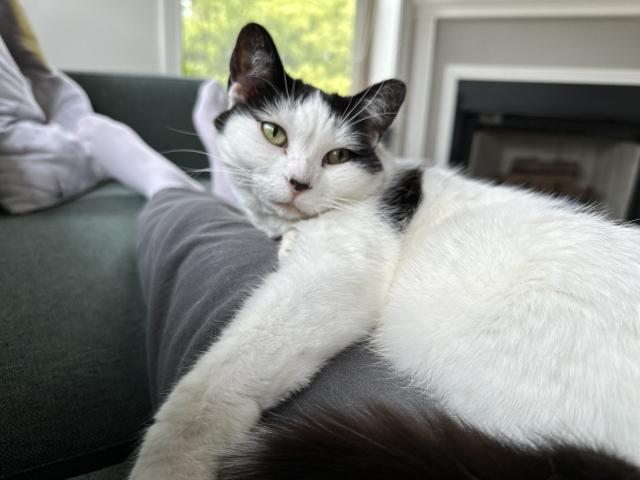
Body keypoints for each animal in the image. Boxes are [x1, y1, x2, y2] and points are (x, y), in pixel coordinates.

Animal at [130, 23, 640, 480]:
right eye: (273, 133)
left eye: (337, 157)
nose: (299, 183)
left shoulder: (337, 269)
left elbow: (224, 372)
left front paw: (172, 458)